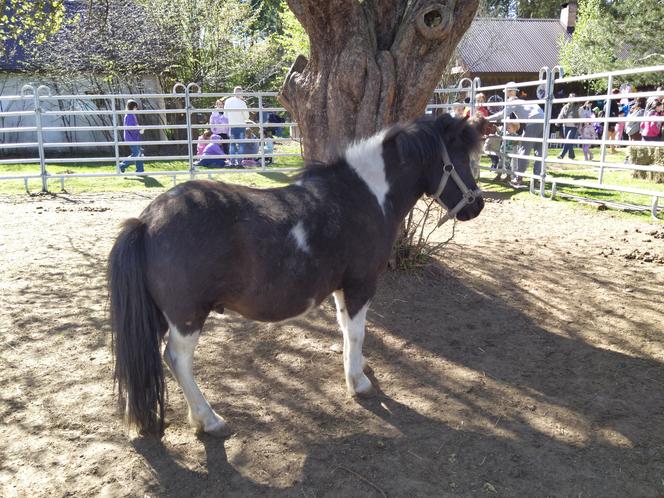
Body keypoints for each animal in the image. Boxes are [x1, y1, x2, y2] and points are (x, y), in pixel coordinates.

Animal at [107, 114, 482, 436]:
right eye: (460, 160)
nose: (476, 205)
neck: (365, 196)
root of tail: (146, 221)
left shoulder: (341, 289)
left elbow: (346, 330)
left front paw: (356, 368)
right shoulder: (361, 284)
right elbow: (357, 332)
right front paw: (359, 384)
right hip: (187, 317)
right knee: (178, 360)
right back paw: (209, 420)